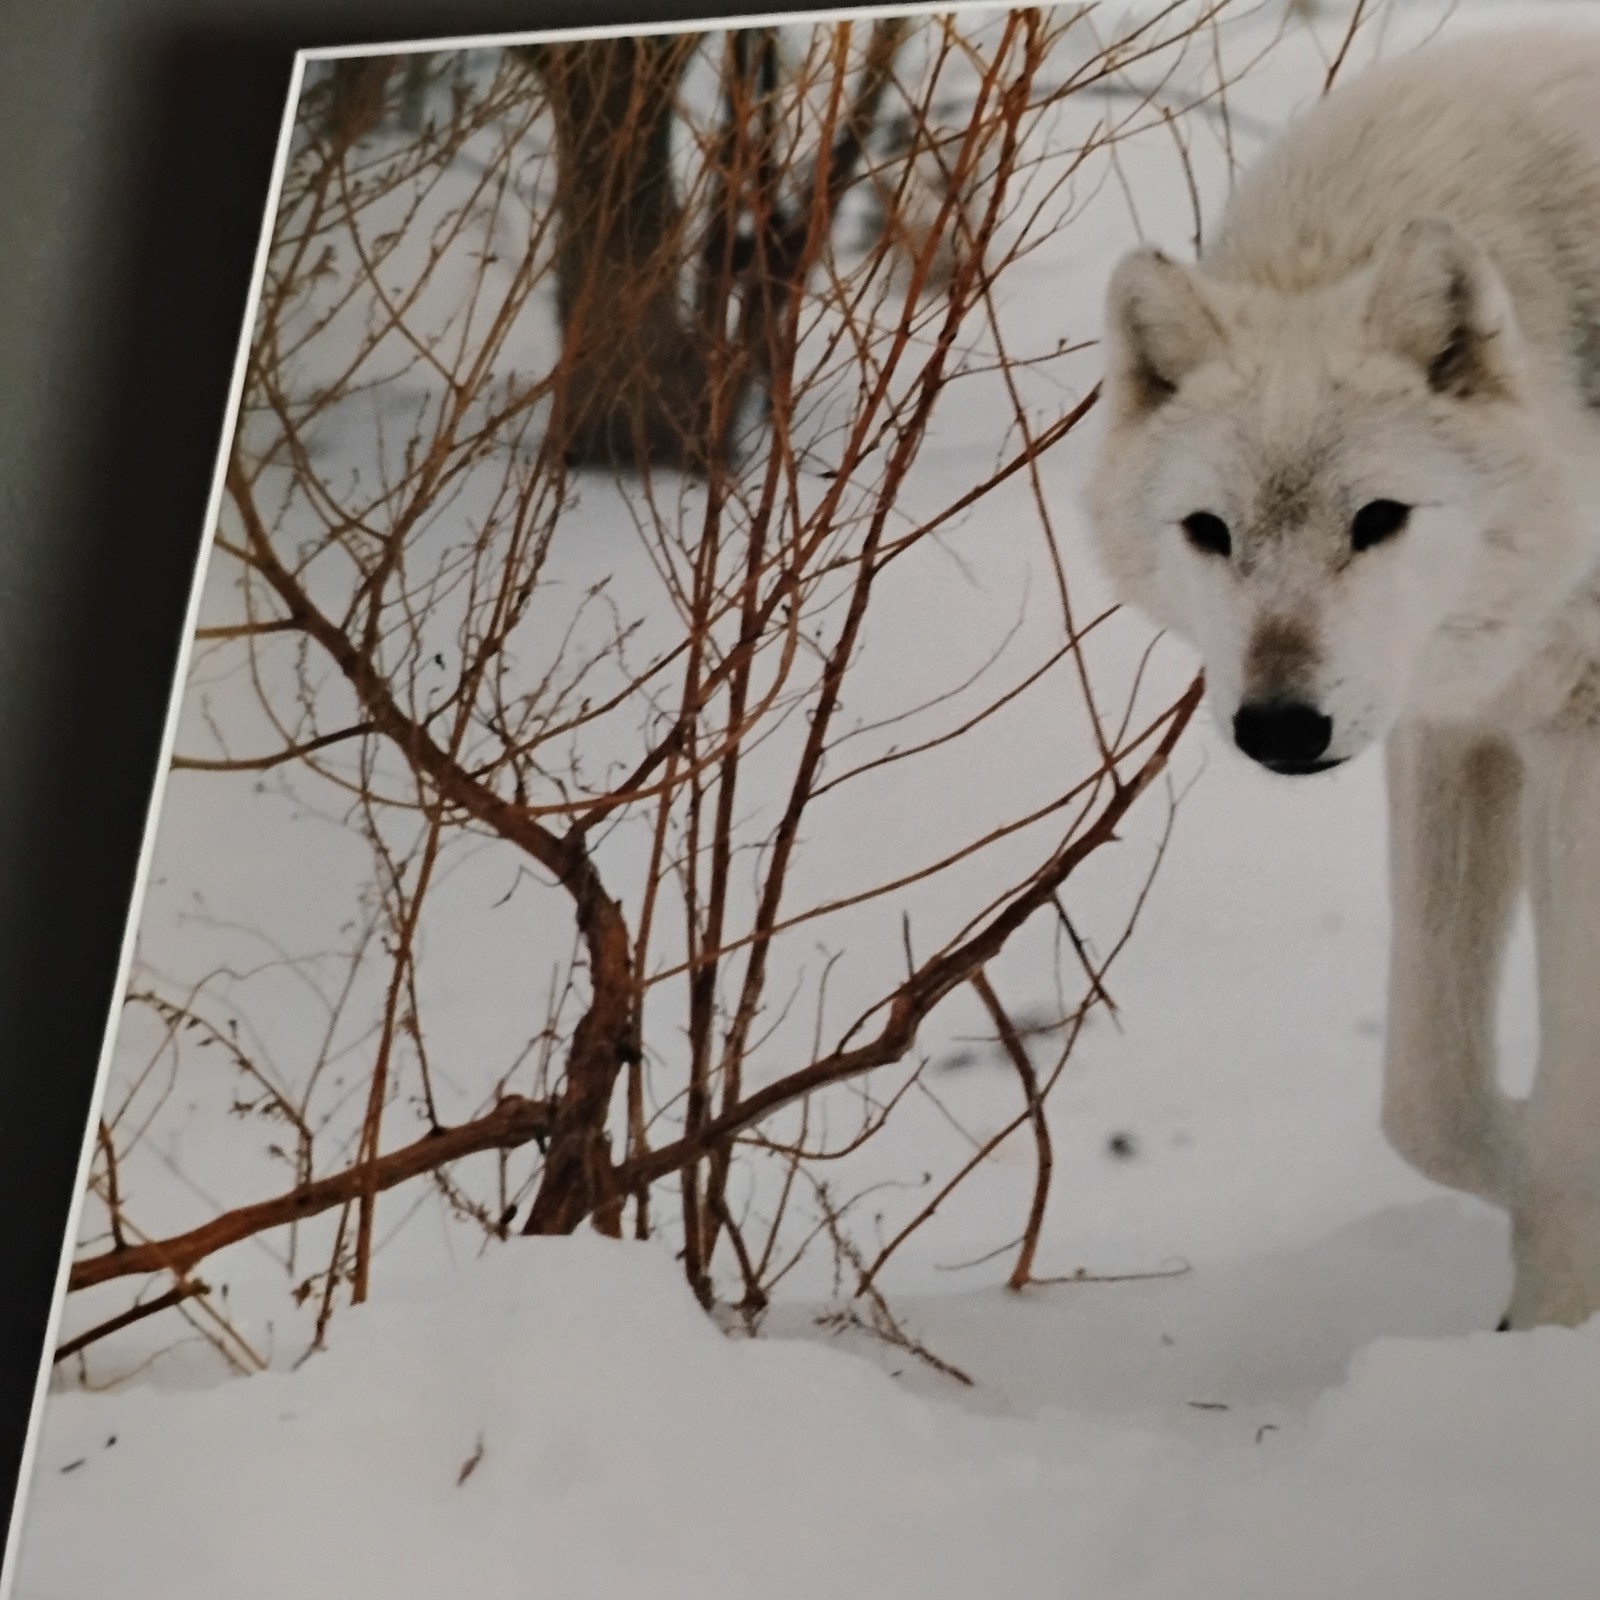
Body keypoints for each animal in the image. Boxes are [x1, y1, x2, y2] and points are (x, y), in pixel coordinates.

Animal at [1085, 28, 1600, 1329]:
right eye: (1209, 532)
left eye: (1377, 519)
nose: (1278, 727)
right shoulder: (1448, 728)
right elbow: (1429, 1102)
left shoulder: (1578, 738)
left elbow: (1566, 1105)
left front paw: (1550, 1320)